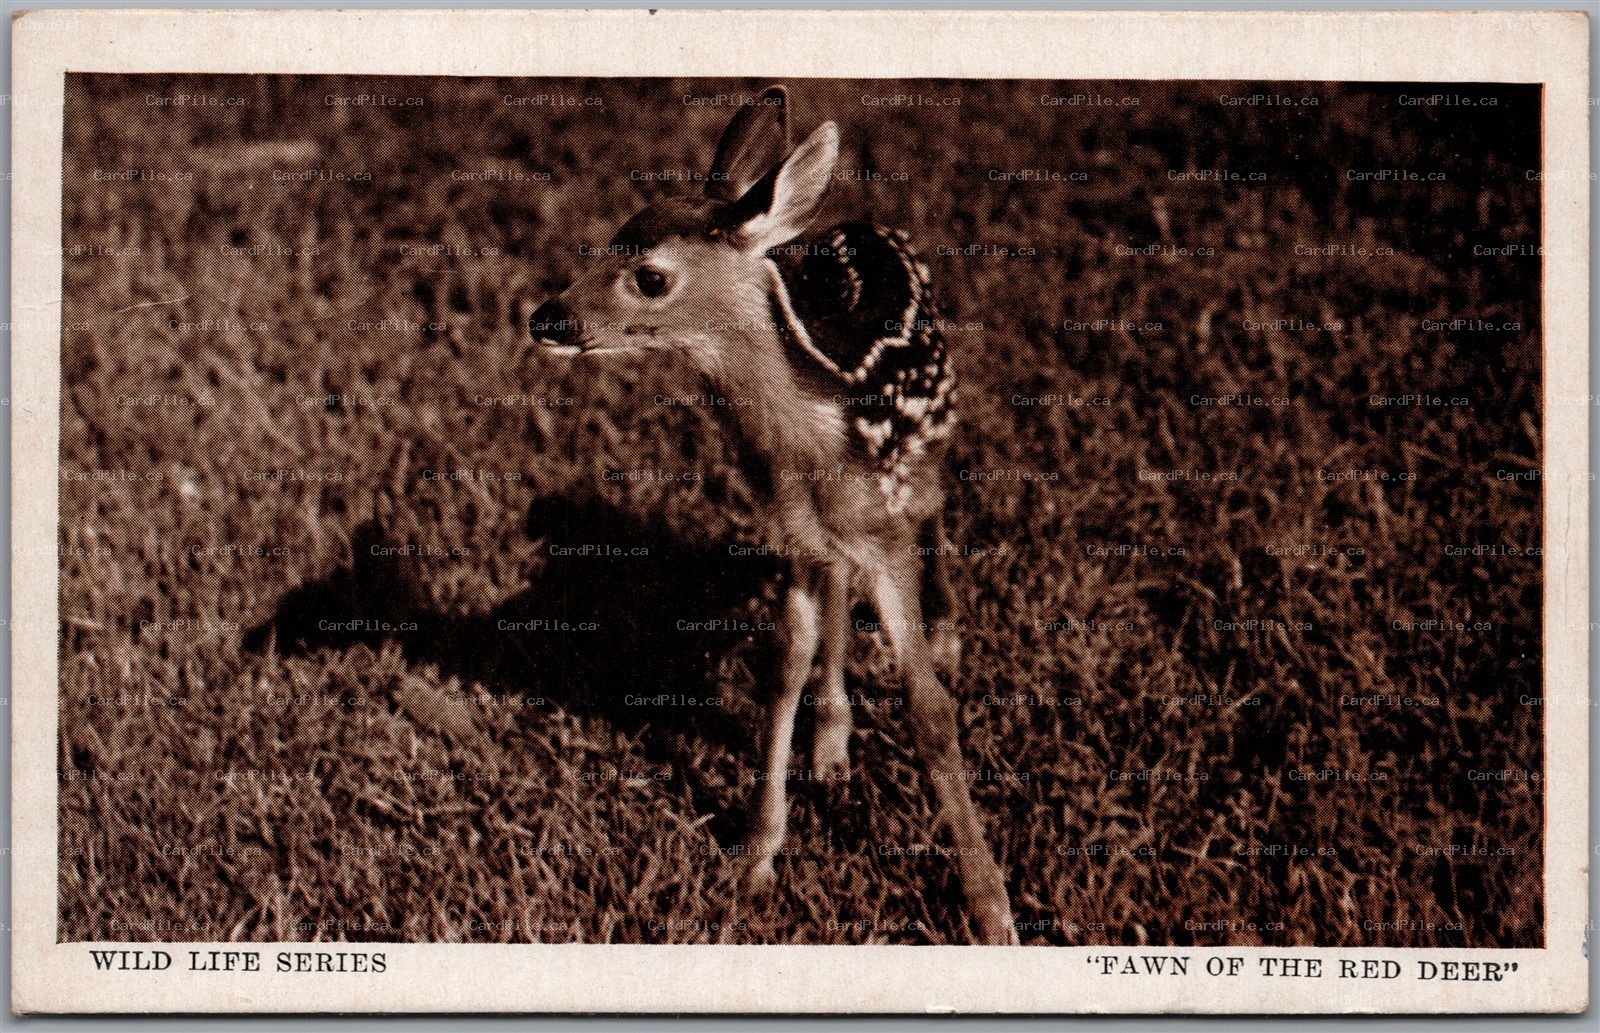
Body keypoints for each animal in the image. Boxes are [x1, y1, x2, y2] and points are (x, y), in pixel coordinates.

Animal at [529, 86, 1017, 945]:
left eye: (649, 276)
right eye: (612, 237)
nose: (548, 318)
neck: (810, 441)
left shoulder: (884, 528)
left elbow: (929, 709)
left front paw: (991, 907)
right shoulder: (791, 529)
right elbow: (784, 668)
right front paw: (758, 854)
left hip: (931, 447)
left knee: (937, 507)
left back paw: (948, 632)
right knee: (835, 595)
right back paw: (831, 741)